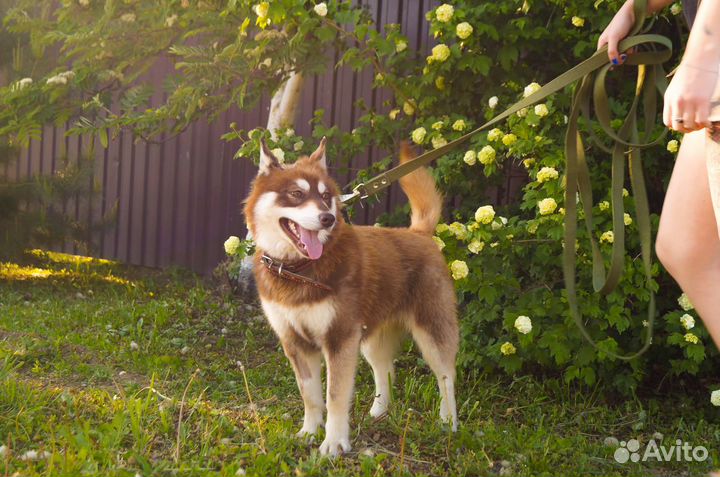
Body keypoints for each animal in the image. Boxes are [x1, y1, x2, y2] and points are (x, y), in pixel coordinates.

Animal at [242, 137, 456, 454]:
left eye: (325, 196)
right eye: (296, 193)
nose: (328, 218)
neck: (298, 270)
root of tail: (419, 233)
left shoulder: (339, 338)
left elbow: (335, 397)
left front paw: (333, 443)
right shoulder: (296, 343)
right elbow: (310, 396)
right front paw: (309, 432)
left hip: (432, 332)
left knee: (446, 377)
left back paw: (449, 422)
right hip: (369, 338)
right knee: (385, 370)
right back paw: (379, 412)